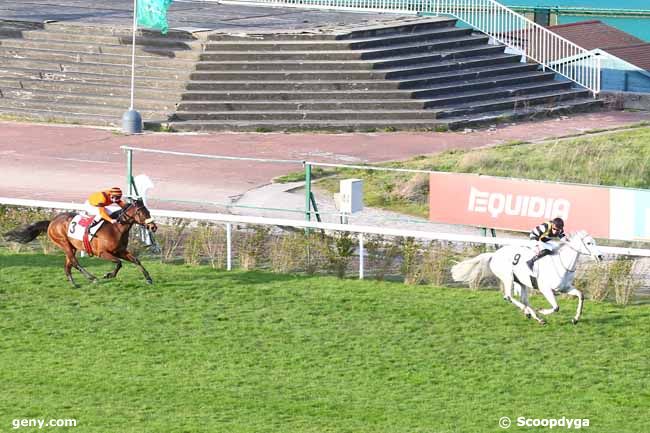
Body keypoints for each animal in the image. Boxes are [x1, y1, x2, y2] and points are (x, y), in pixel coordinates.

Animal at [4, 199, 158, 286]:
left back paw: (74, 283)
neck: (116, 228)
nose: (153, 227)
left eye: (148, 211)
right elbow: (119, 263)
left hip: (71, 246)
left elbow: (136, 260)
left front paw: (149, 279)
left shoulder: (120, 251)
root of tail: (52, 221)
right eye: (141, 212)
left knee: (68, 265)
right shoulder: (102, 253)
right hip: (64, 243)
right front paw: (108, 275)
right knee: (75, 262)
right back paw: (92, 278)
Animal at [450, 230, 604, 324]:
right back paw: (529, 313)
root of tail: (494, 254)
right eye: (589, 243)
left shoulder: (565, 288)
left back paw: (536, 317)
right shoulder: (546, 289)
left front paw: (575, 319)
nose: (601, 256)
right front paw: (542, 310)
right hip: (508, 278)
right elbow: (556, 307)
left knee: (523, 299)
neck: (562, 264)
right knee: (509, 297)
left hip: (521, 282)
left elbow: (580, 295)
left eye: (595, 242)